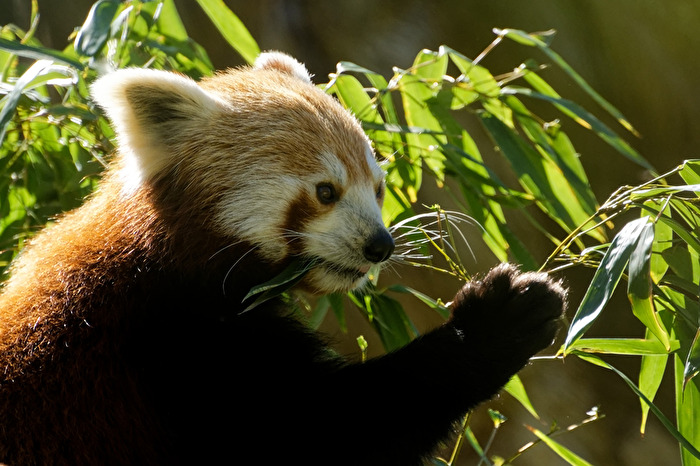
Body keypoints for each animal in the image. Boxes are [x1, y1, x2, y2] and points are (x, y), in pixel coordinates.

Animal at [0, 52, 565, 465]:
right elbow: (330, 429)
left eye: (379, 188)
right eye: (325, 191)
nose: (380, 245)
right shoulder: (178, 352)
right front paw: (499, 320)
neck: (159, 265)